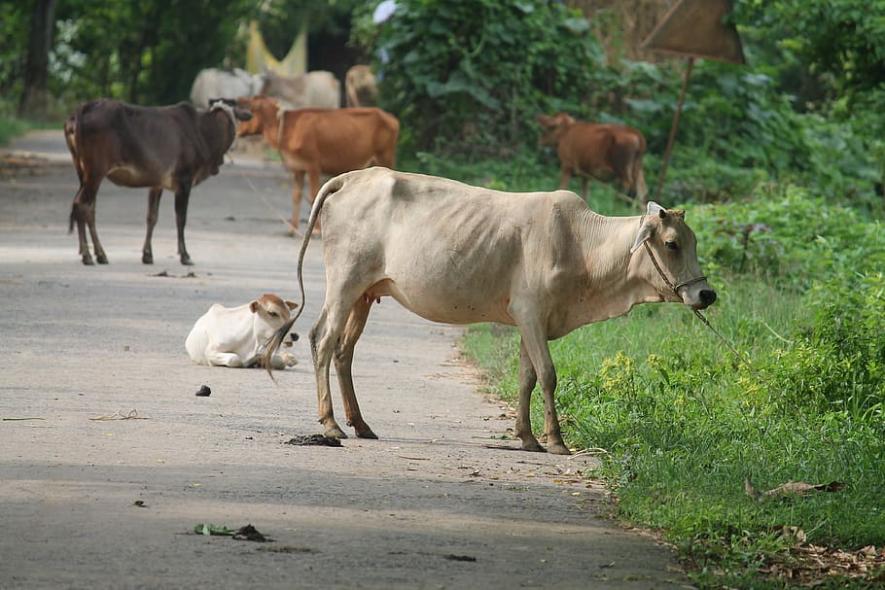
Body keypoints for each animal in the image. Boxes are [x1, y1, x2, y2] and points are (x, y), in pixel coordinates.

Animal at [64, 98, 251, 266]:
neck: (203, 133)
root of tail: (83, 108)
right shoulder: (184, 181)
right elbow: (181, 219)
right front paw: (185, 255)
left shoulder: (157, 183)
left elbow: (152, 217)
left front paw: (147, 255)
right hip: (96, 172)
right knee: (82, 205)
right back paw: (88, 255)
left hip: (84, 173)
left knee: (86, 208)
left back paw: (99, 254)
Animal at [236, 96, 399, 234]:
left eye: (248, 111)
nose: (237, 131)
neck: (287, 128)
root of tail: (390, 117)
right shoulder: (298, 168)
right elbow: (296, 195)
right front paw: (292, 228)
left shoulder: (313, 165)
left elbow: (314, 196)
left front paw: (315, 230)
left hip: (385, 157)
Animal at [263, 167, 716, 455]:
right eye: (672, 243)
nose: (706, 293)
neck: (582, 246)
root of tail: (351, 177)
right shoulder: (531, 311)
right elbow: (548, 375)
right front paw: (556, 442)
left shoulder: (530, 321)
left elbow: (527, 377)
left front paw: (527, 438)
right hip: (344, 283)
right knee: (323, 340)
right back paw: (331, 424)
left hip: (364, 293)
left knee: (344, 351)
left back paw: (361, 424)